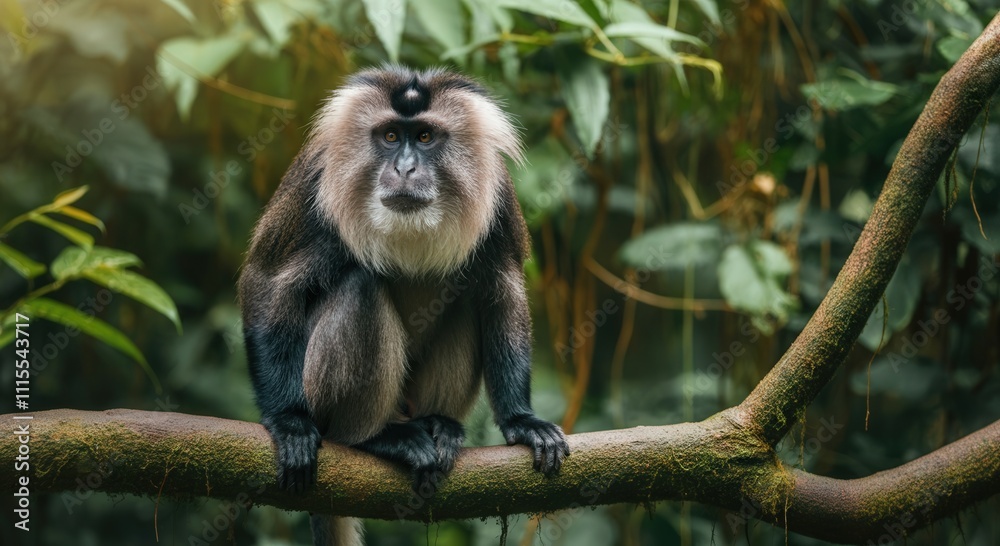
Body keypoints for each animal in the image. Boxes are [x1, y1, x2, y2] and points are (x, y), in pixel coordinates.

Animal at [238, 65, 570, 546]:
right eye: (391, 136)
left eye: (426, 137)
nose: (405, 168)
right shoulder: (314, 184)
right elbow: (265, 283)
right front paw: (288, 422)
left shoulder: (498, 198)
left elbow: (502, 293)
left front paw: (522, 422)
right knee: (361, 287)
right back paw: (373, 439)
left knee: (466, 303)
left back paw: (438, 426)